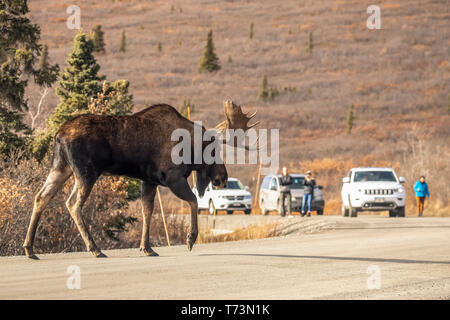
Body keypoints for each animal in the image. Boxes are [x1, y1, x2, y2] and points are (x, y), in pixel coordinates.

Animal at [23, 101, 256, 258]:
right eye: (214, 151)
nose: (222, 177)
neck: (191, 148)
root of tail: (58, 134)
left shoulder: (149, 180)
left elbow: (147, 211)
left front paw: (147, 247)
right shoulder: (174, 178)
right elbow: (192, 202)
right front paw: (190, 238)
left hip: (60, 168)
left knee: (41, 197)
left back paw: (29, 248)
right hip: (86, 172)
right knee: (72, 203)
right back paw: (95, 248)